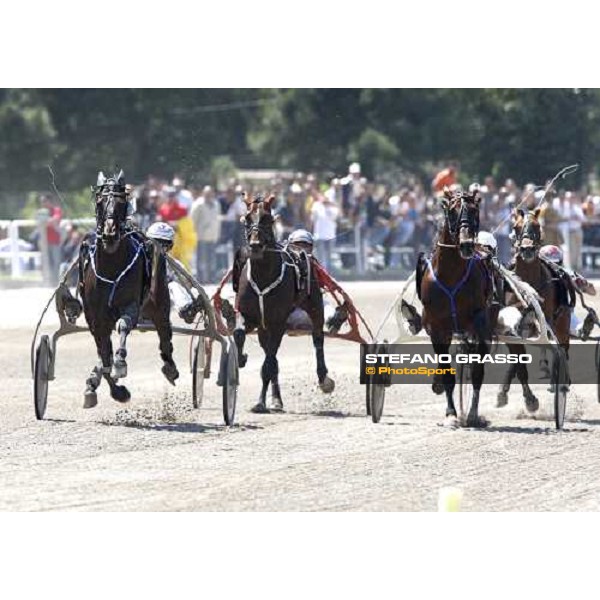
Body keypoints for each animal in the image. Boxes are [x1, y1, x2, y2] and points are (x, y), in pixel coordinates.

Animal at [77, 171, 177, 410]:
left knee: (164, 333)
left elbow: (123, 325)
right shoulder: (95, 318)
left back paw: (170, 366)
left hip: (159, 300)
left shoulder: (131, 304)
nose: (110, 233)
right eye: (100, 200)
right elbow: (103, 354)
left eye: (122, 202)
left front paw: (120, 362)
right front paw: (116, 390)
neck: (111, 265)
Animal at [231, 192, 336, 412]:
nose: (255, 245)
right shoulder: (248, 315)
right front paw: (241, 358)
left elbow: (268, 365)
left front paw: (260, 403)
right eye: (247, 218)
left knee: (317, 338)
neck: (263, 275)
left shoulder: (278, 323)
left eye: (267, 219)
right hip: (264, 329)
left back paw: (324, 379)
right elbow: (239, 334)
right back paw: (276, 399)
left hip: (314, 305)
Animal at [418, 190, 492, 428]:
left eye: (475, 211)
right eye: (451, 211)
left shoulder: (478, 324)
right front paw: (451, 414)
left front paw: (472, 414)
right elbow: (446, 373)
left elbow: (477, 371)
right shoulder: (437, 328)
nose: (467, 244)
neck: (450, 275)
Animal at [496, 209, 572, 410]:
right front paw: (506, 393)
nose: (527, 249)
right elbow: (517, 358)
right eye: (516, 227)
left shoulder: (546, 320)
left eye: (537, 226)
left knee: (562, 348)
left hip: (562, 323)